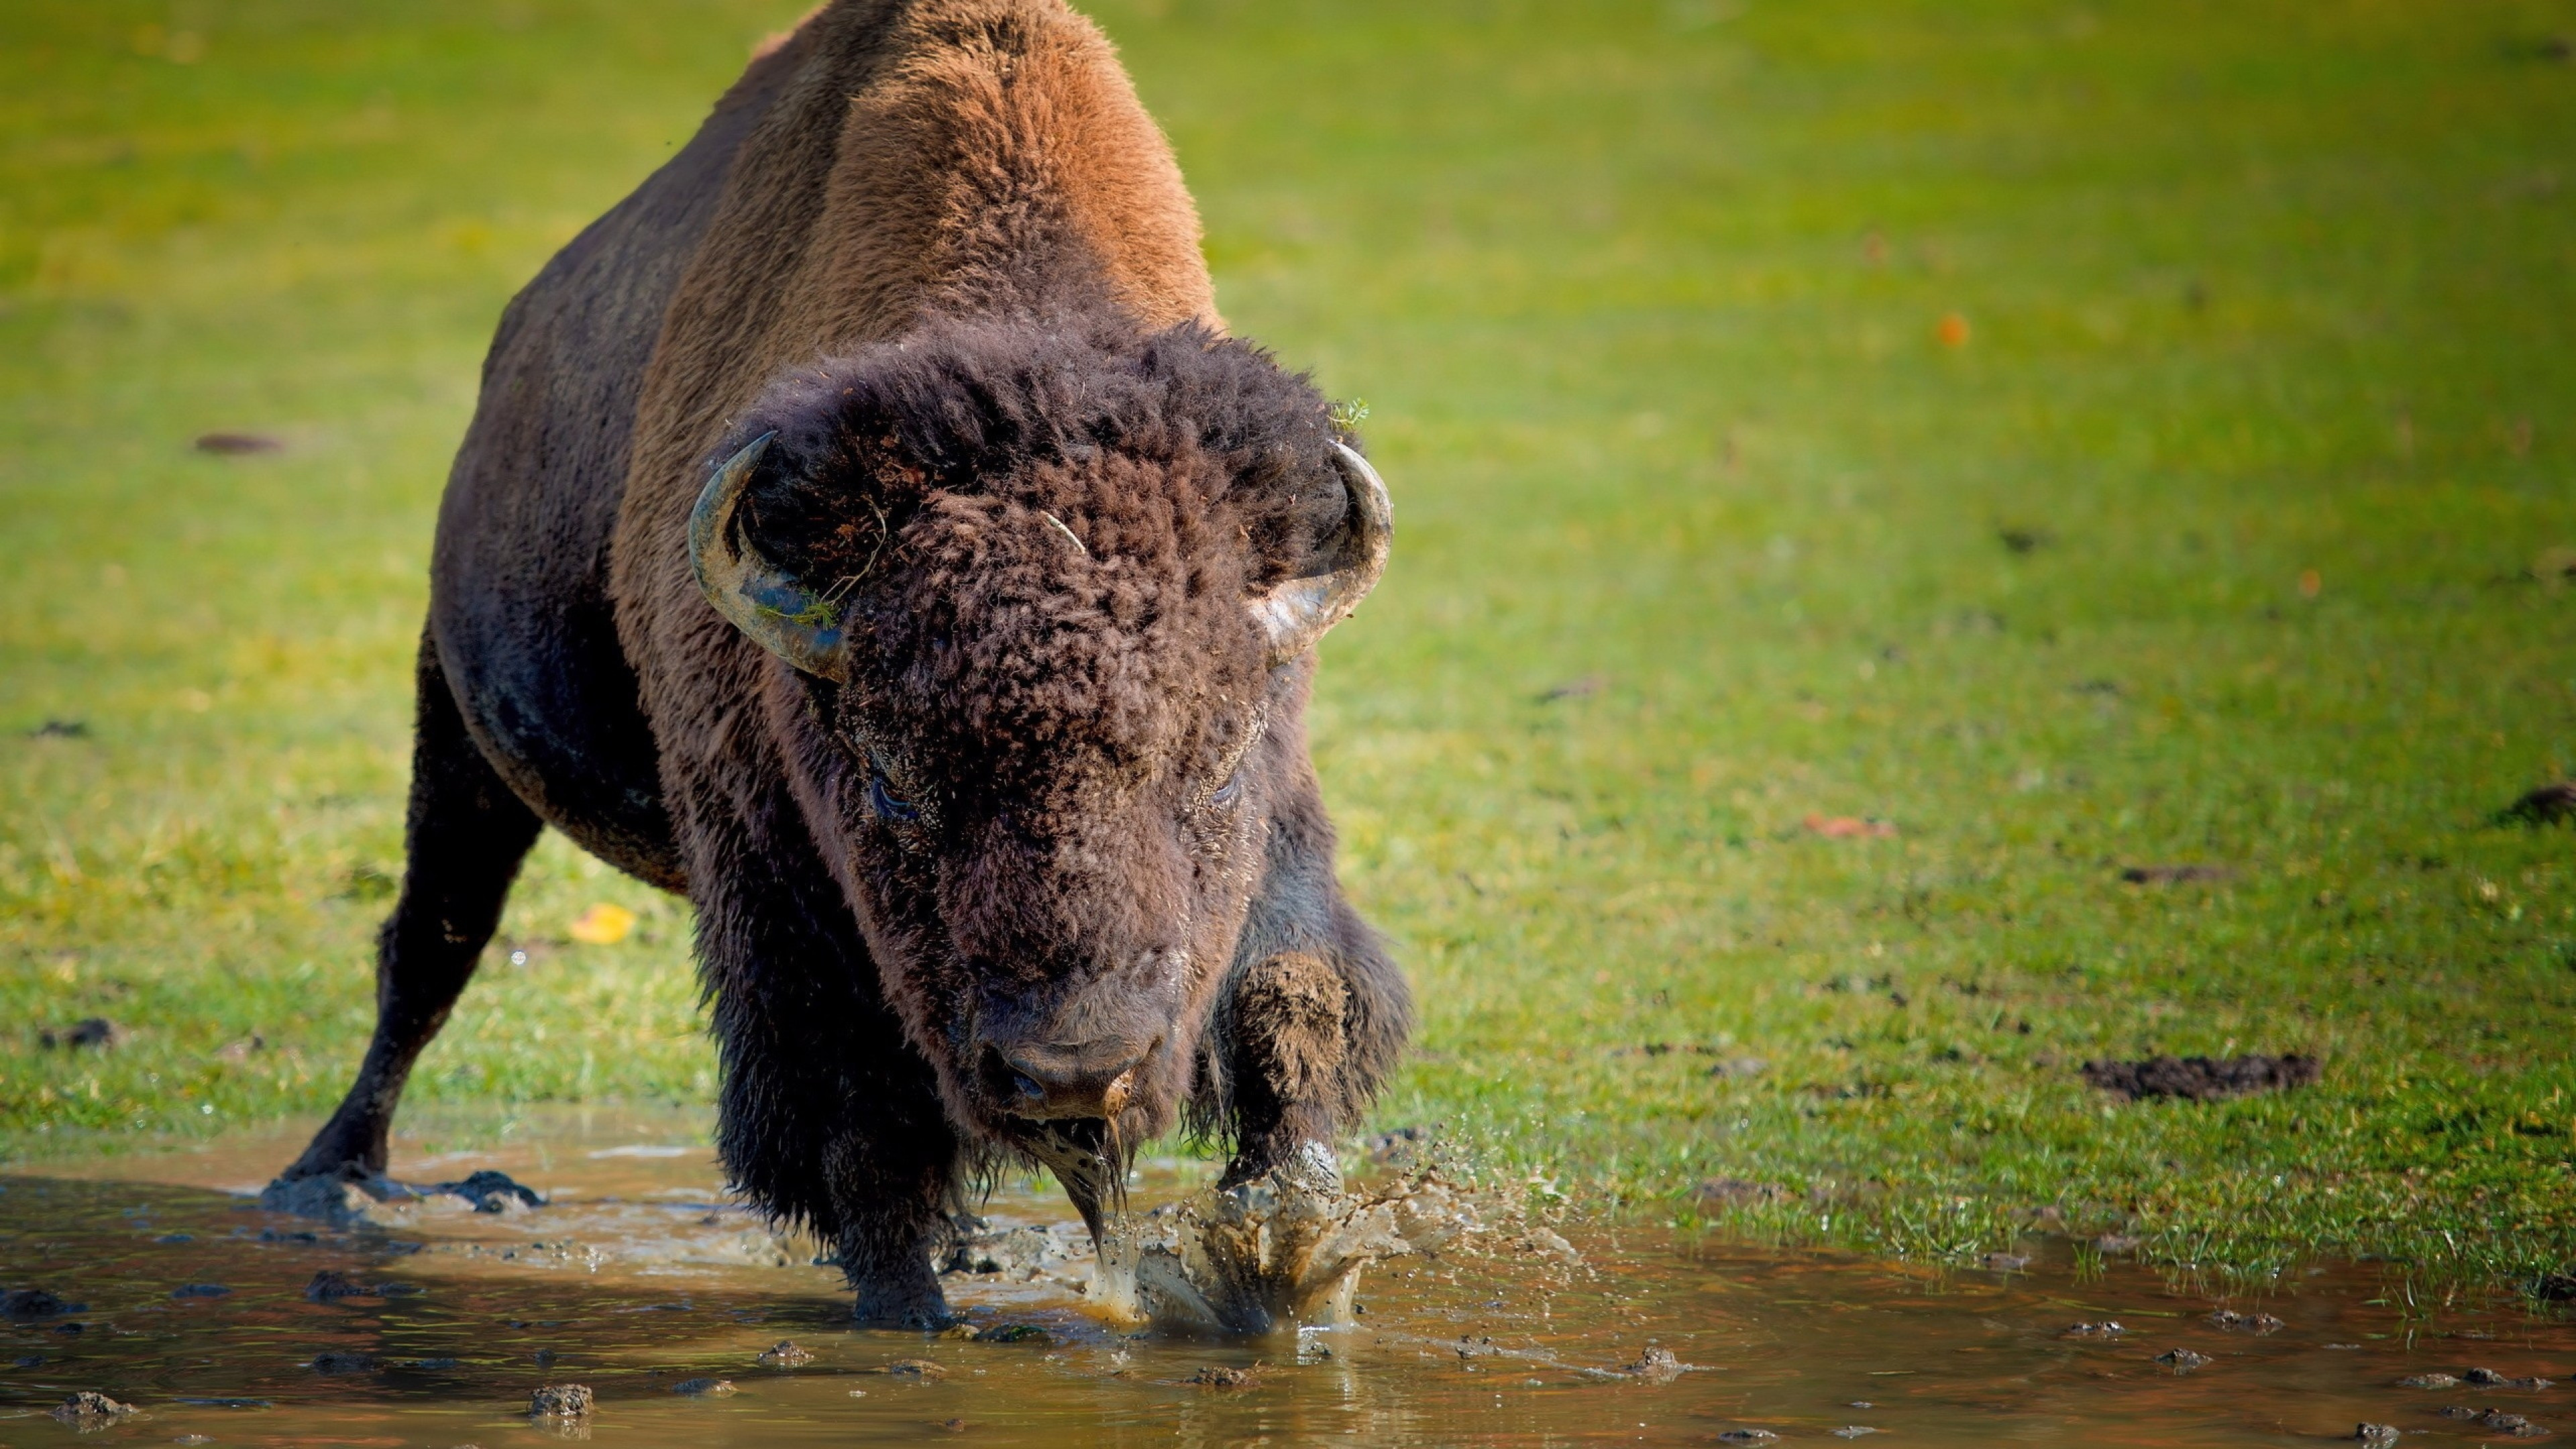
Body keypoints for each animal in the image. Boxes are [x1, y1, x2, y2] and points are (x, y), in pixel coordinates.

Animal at [266, 0, 1411, 1320]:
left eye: (1219, 764)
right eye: (893, 782)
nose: (1074, 1073)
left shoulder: (1282, 822)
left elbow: (1295, 1002)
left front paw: (1292, 1263)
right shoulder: (771, 886)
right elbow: (856, 1131)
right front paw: (913, 1315)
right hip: (458, 731)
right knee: (430, 948)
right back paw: (327, 1176)